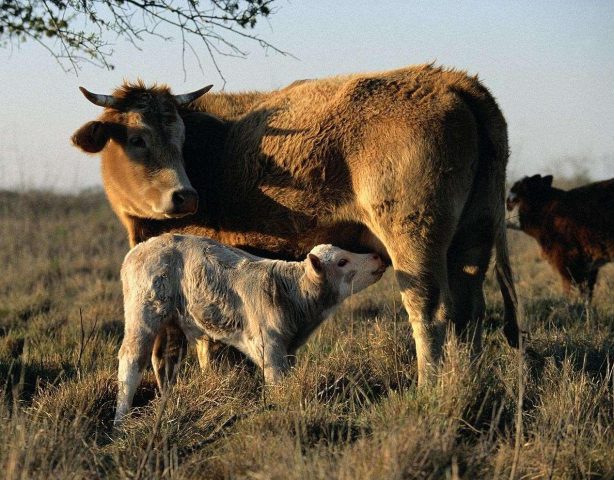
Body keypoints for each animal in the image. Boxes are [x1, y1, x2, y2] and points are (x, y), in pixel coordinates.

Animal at [74, 63, 524, 386]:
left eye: (181, 138)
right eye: (137, 139)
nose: (185, 196)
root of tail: (453, 81)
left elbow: (192, 343)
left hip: (413, 242)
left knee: (428, 313)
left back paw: (429, 387)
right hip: (473, 239)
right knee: (469, 310)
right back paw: (467, 382)